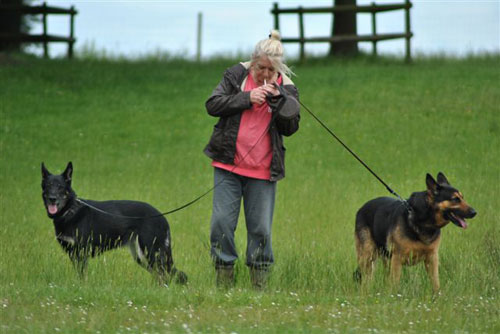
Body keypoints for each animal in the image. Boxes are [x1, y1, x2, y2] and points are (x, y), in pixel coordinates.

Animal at [41, 162, 188, 284]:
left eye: (60, 187)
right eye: (48, 186)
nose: (52, 198)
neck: (70, 211)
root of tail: (162, 216)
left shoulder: (81, 254)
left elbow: (82, 276)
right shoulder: (73, 254)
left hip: (151, 252)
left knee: (164, 275)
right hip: (141, 256)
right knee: (160, 275)